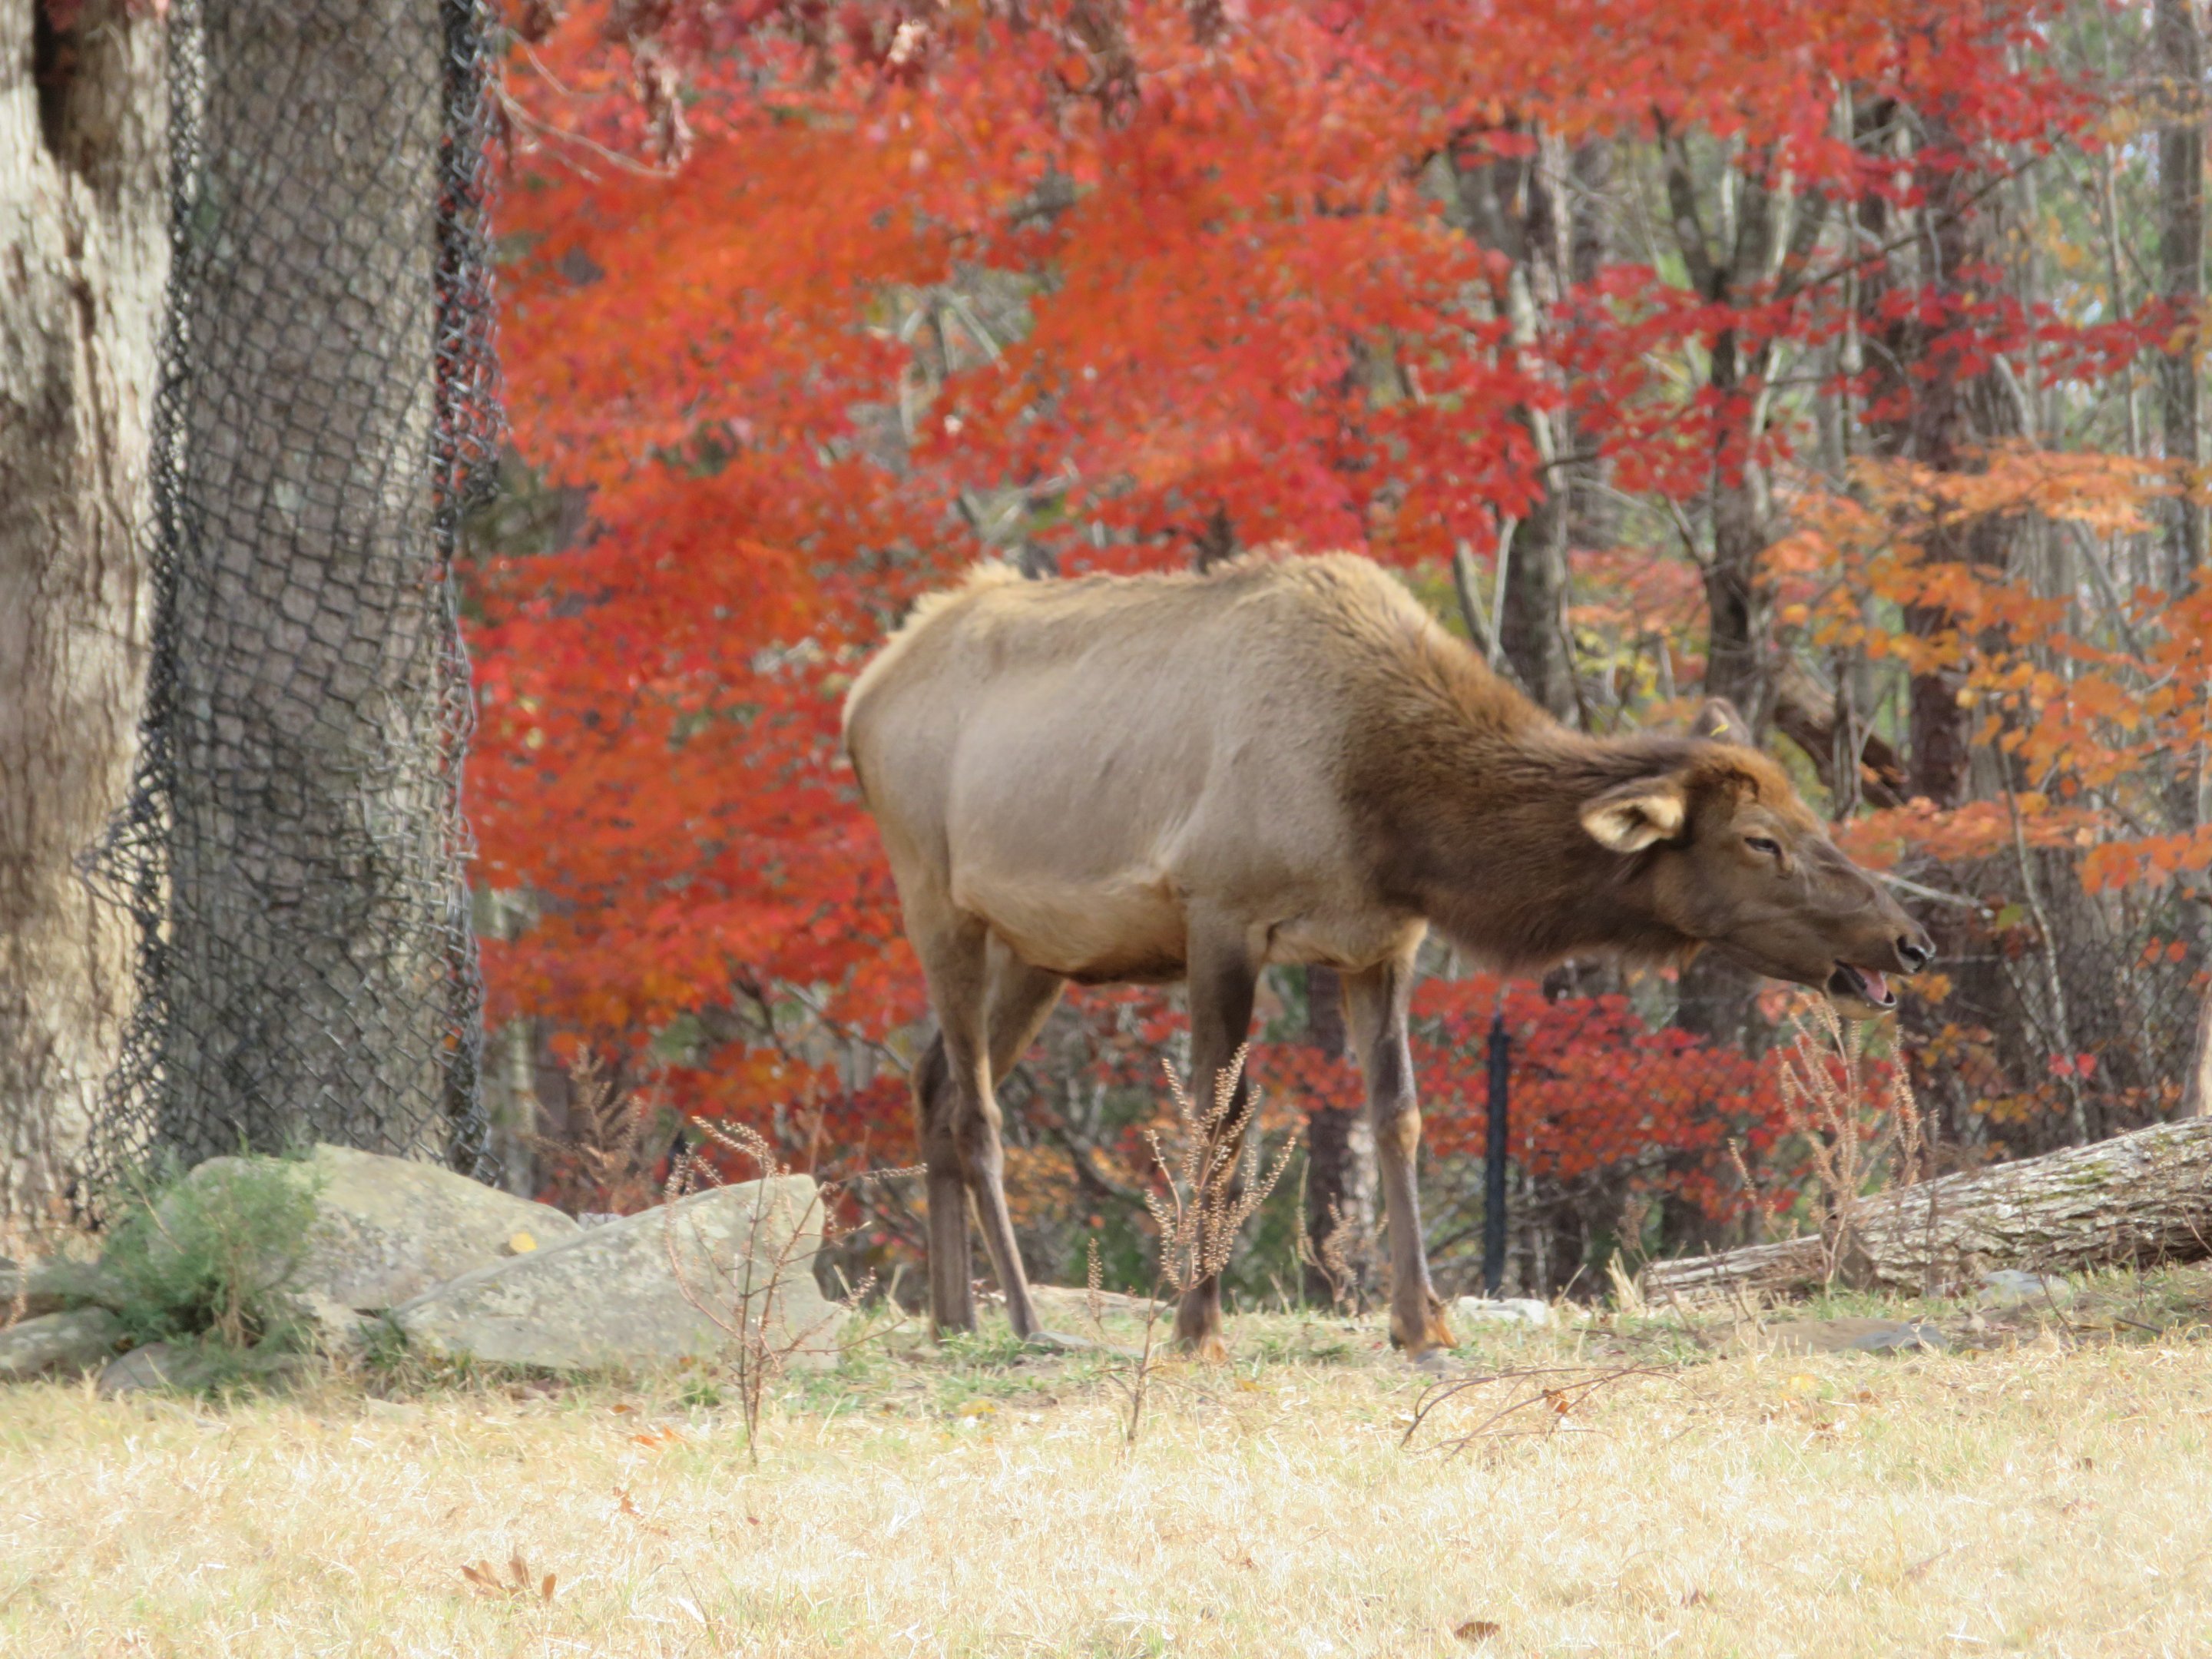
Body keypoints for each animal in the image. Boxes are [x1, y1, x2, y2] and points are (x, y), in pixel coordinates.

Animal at [841, 551, 1933, 1359]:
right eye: (1761, 840)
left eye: (1807, 815)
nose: (1910, 940)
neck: (1392, 821)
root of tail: (860, 696)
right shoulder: (1218, 911)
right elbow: (1220, 1124)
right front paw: (1198, 1326)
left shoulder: (1381, 943)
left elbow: (1397, 1117)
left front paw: (1422, 1323)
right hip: (933, 893)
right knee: (975, 1108)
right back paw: (1027, 1320)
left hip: (1042, 951)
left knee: (934, 1081)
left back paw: (955, 1318)